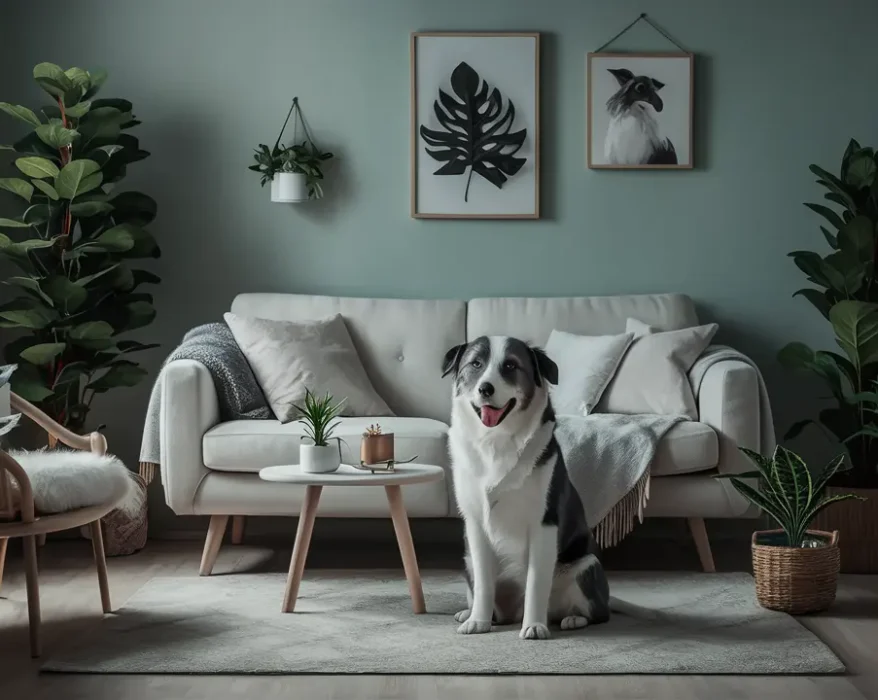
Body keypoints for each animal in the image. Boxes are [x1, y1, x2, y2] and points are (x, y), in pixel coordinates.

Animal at [440, 338, 612, 640]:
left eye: (510, 366)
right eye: (476, 364)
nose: (485, 388)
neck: (495, 441)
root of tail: (512, 613)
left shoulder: (544, 523)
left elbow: (536, 582)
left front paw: (534, 626)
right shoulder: (475, 525)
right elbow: (483, 583)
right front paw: (478, 621)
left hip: (585, 565)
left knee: (597, 613)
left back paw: (572, 619)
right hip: (467, 560)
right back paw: (473, 613)